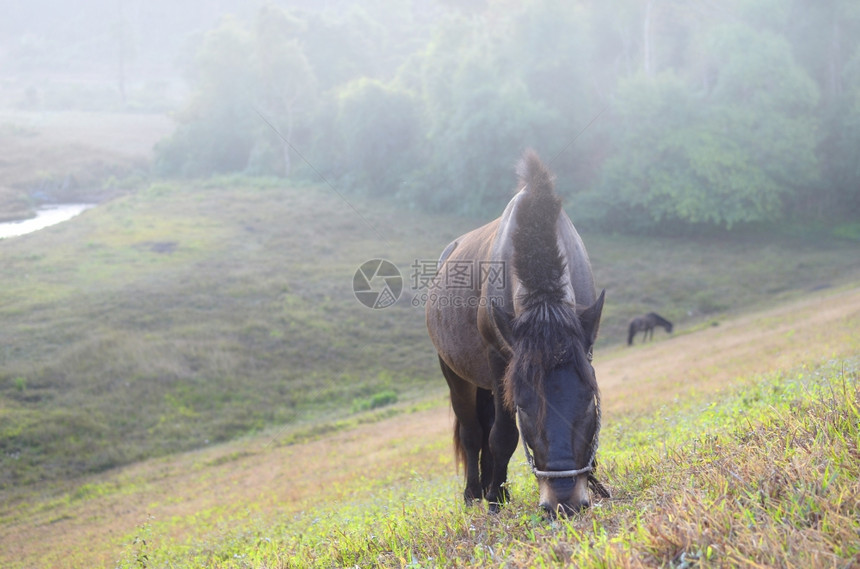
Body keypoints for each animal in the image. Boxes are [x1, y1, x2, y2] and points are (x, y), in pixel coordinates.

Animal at [426, 151, 608, 516]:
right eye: (524, 407)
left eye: (587, 401)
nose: (564, 502)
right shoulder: (500, 360)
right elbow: (503, 433)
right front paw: (495, 499)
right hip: (455, 374)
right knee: (472, 432)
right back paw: (475, 493)